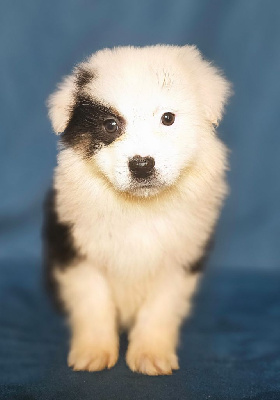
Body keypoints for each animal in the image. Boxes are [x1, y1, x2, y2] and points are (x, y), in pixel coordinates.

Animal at [43, 44, 231, 376]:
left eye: (168, 118)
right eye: (110, 125)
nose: (141, 165)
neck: (140, 207)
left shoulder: (182, 256)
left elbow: (161, 307)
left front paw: (151, 354)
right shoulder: (75, 248)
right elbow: (93, 301)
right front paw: (94, 352)